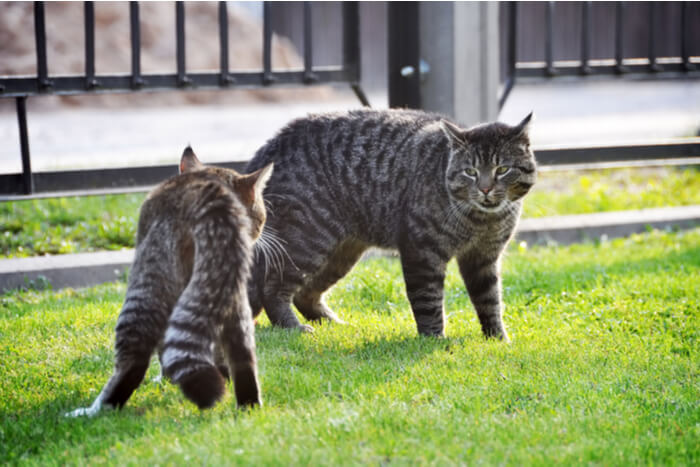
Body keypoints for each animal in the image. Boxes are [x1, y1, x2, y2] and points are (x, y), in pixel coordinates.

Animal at [66, 147, 274, 416]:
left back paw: (97, 410)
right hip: (227, 292)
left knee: (134, 361)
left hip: (149, 282)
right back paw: (248, 404)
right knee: (242, 354)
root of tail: (210, 198)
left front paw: (166, 376)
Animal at [247, 111, 536, 342]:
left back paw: (333, 323)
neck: (483, 220)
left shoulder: (483, 258)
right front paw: (434, 339)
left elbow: (489, 300)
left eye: (502, 169)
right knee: (272, 289)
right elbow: (428, 300)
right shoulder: (422, 251)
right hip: (307, 241)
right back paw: (293, 327)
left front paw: (498, 338)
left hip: (340, 253)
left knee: (305, 293)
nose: (485, 188)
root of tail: (273, 143)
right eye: (471, 172)